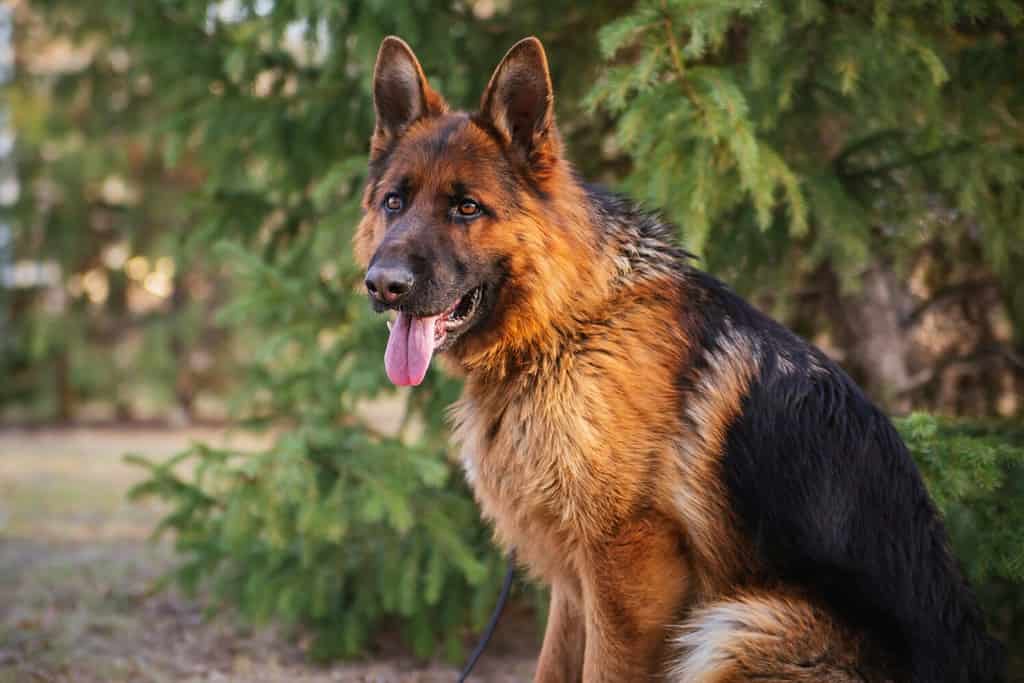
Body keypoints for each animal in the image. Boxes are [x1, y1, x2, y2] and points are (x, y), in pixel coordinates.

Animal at [352, 36, 999, 683]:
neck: (568, 325)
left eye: (466, 208)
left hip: (739, 625)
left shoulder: (628, 572)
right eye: (394, 202)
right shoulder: (574, 582)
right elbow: (552, 666)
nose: (383, 285)